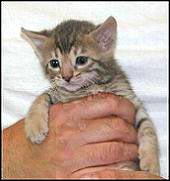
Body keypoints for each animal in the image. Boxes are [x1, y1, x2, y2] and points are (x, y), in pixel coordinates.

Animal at [20, 16, 159, 175]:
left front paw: (152, 163)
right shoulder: (59, 95)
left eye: (81, 60)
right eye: (54, 63)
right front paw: (34, 127)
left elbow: (148, 127)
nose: (66, 77)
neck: (88, 87)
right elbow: (42, 96)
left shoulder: (131, 101)